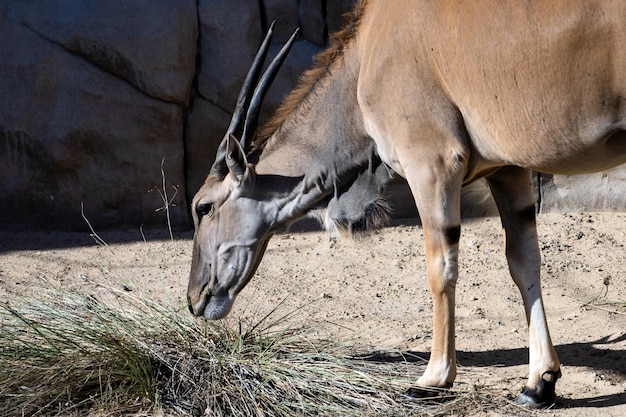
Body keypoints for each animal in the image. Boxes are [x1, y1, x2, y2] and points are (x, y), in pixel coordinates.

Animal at [186, 0, 624, 406]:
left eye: (202, 207)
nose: (195, 299)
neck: (369, 50)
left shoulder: (432, 164)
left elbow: (441, 268)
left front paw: (434, 378)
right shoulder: (508, 170)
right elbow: (524, 262)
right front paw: (539, 383)